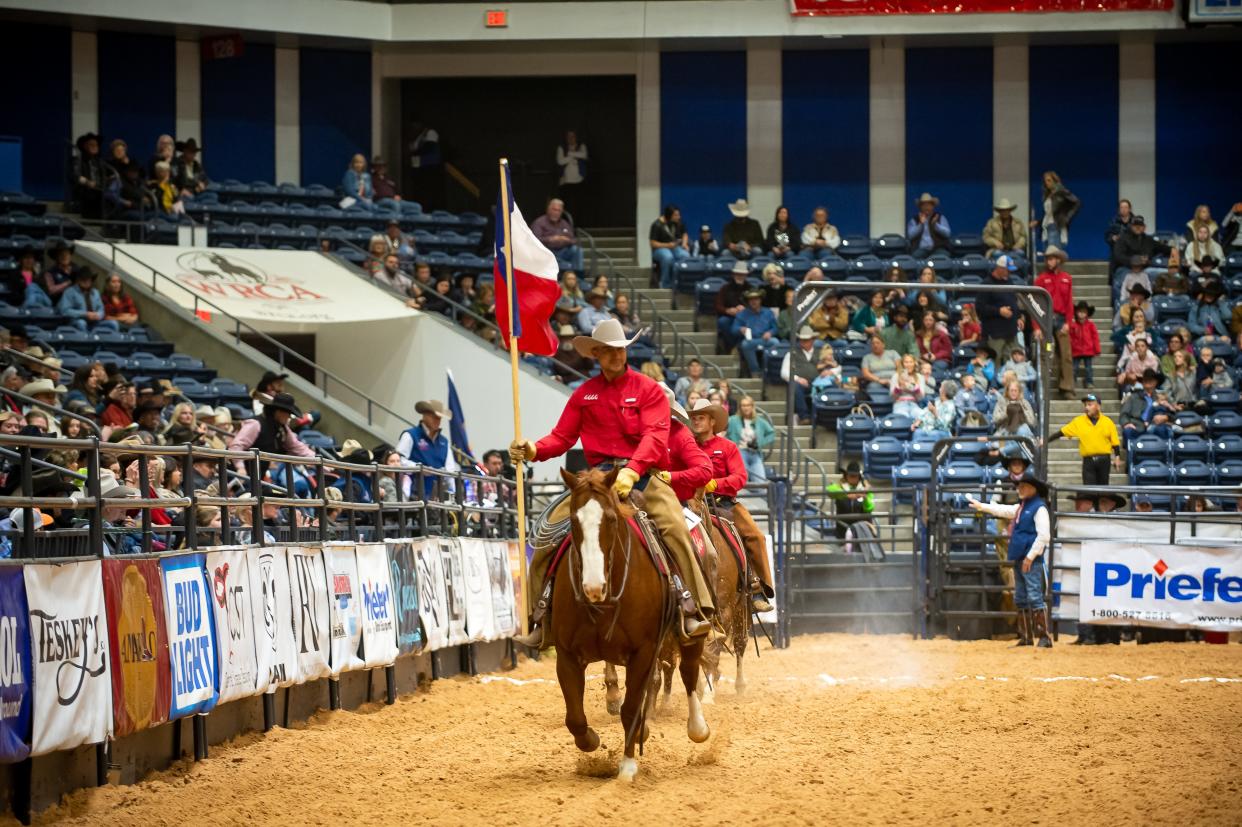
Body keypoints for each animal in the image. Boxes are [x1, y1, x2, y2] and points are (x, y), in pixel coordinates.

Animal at [553, 469, 710, 779]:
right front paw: (592, 740)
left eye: (612, 519)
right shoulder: (566, 655)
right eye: (574, 521)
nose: (593, 587)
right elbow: (575, 718)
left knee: (689, 671)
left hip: (690, 630)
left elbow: (630, 709)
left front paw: (627, 767)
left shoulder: (644, 651)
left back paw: (697, 727)